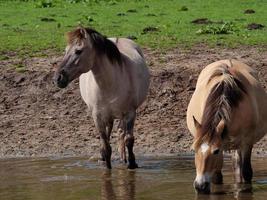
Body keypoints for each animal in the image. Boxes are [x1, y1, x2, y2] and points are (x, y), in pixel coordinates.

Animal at [54, 27, 151, 169]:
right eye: (66, 50)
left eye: (78, 51)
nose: (57, 78)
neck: (111, 83)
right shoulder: (97, 116)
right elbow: (106, 146)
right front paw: (107, 166)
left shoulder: (130, 113)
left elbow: (129, 139)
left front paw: (132, 163)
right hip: (107, 115)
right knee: (110, 131)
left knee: (120, 132)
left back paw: (123, 158)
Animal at [187, 59, 267, 194]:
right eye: (194, 150)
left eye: (215, 151)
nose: (200, 186)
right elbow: (217, 177)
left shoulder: (246, 142)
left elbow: (246, 172)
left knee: (239, 168)